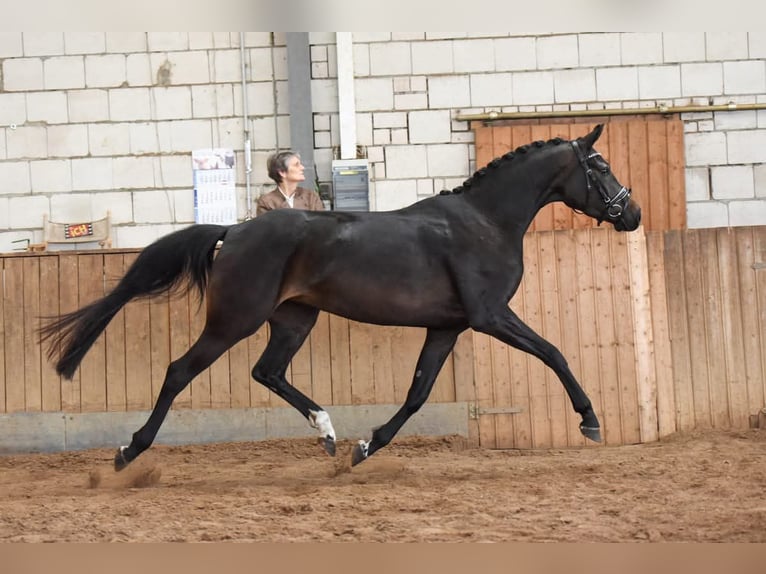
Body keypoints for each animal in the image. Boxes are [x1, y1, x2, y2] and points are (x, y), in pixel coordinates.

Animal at [39, 123, 641, 471]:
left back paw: (328, 432)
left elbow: (418, 393)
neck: (484, 222)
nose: (632, 214)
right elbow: (555, 352)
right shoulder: (490, 315)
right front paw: (590, 421)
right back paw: (128, 451)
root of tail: (234, 230)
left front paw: (364, 448)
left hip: (294, 319)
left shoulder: (447, 326)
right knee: (179, 371)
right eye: (601, 167)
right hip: (235, 320)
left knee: (268, 372)